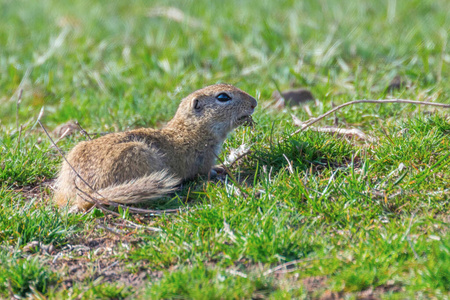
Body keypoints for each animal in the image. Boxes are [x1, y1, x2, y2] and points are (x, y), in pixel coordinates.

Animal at [53, 83, 256, 212]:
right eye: (223, 97)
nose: (254, 102)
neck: (190, 129)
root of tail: (79, 193)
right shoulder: (203, 159)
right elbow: (205, 171)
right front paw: (218, 170)